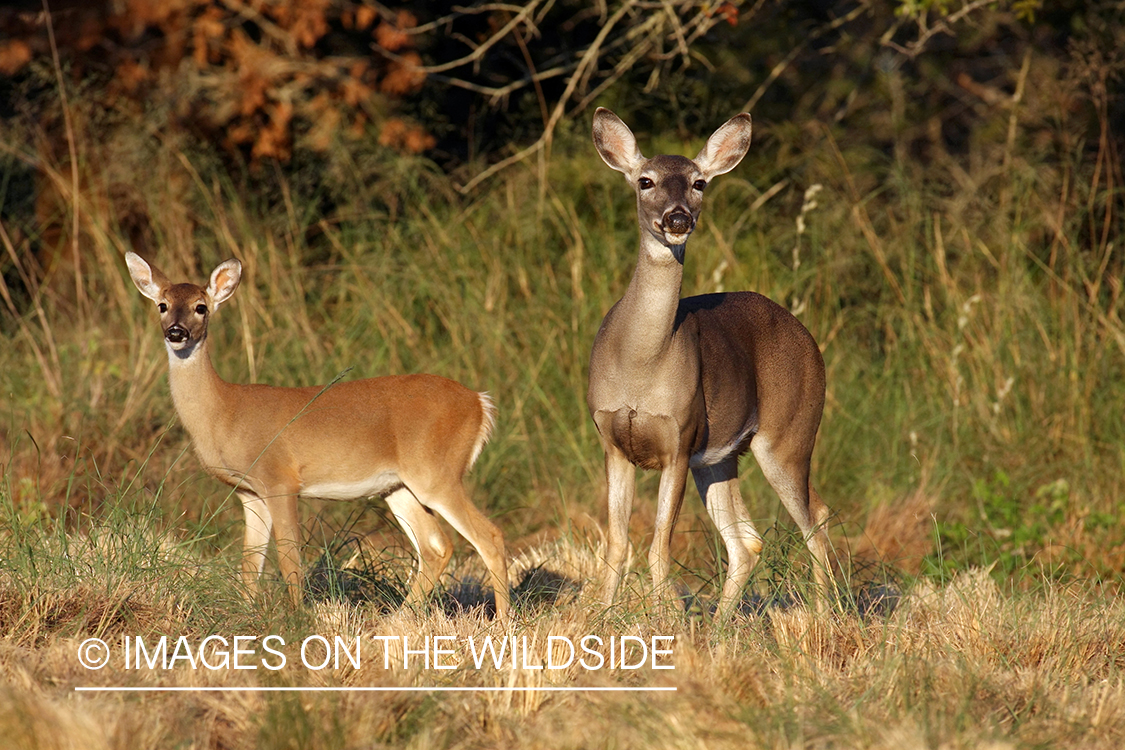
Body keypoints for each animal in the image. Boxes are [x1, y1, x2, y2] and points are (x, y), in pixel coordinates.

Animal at [125, 252, 511, 622]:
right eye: (162, 304)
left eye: (201, 307)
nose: (176, 332)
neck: (224, 411)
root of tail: (480, 403)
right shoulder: (249, 492)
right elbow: (250, 563)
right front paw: (246, 617)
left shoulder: (279, 478)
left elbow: (289, 558)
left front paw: (297, 618)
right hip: (399, 486)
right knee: (436, 546)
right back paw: (396, 622)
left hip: (437, 472)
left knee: (489, 536)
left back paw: (503, 624)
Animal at [586, 108, 833, 620]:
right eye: (645, 180)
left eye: (699, 183)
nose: (678, 217)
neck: (640, 368)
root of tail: (805, 334)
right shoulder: (612, 442)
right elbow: (618, 543)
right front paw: (598, 617)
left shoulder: (679, 440)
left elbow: (658, 547)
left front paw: (667, 621)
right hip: (721, 457)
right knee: (748, 542)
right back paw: (720, 627)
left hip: (788, 435)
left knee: (815, 517)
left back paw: (826, 617)